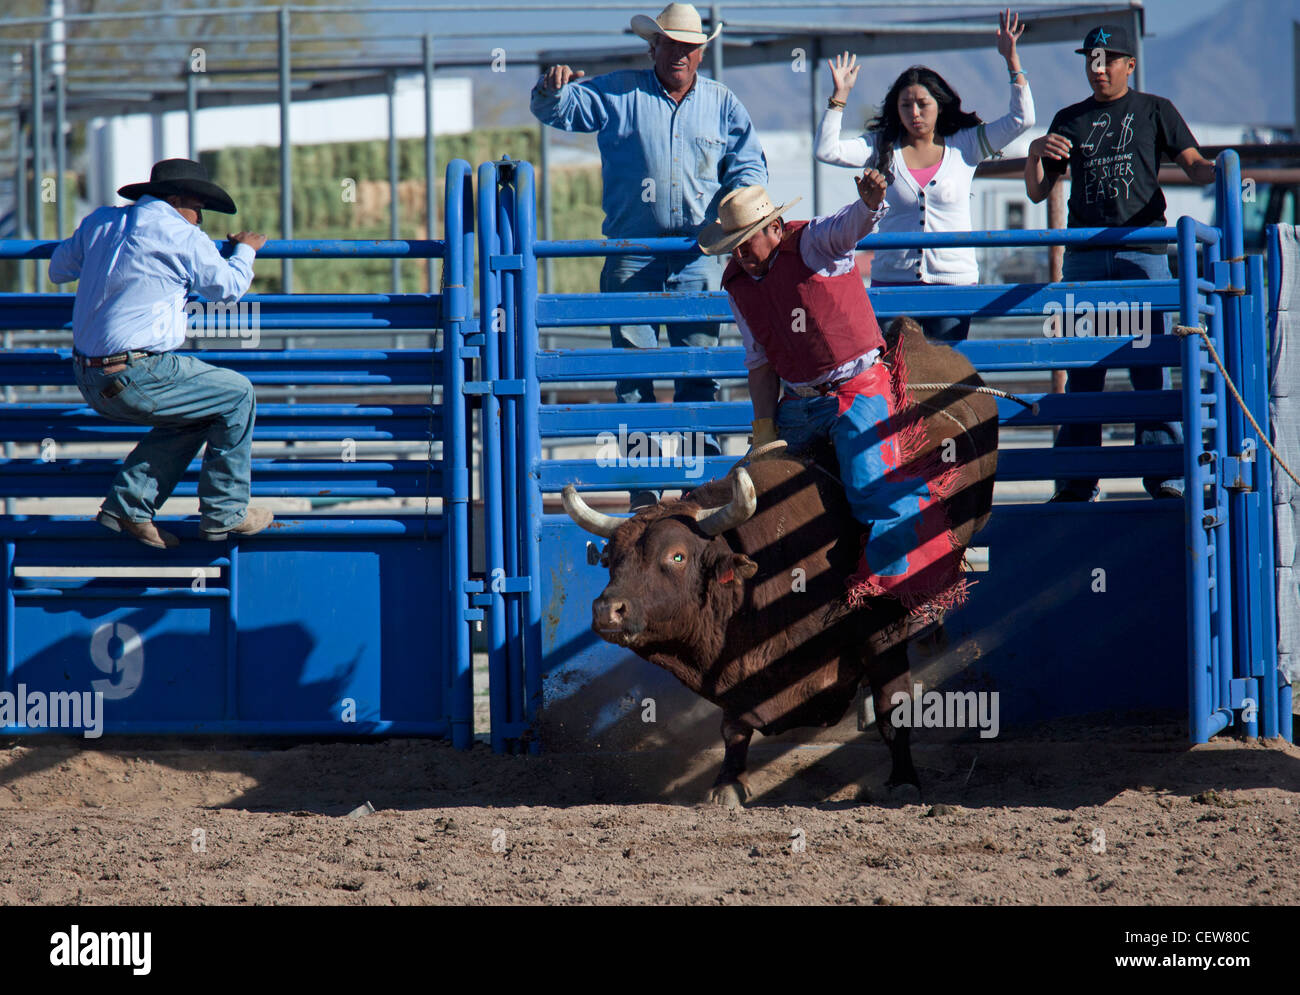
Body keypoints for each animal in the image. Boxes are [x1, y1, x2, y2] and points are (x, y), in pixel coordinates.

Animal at [564, 319, 998, 806]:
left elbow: (892, 709)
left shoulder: (881, 632)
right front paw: (727, 784)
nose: (608, 610)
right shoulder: (736, 671)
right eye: (611, 558)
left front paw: (903, 780)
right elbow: (733, 728)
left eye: (676, 555)